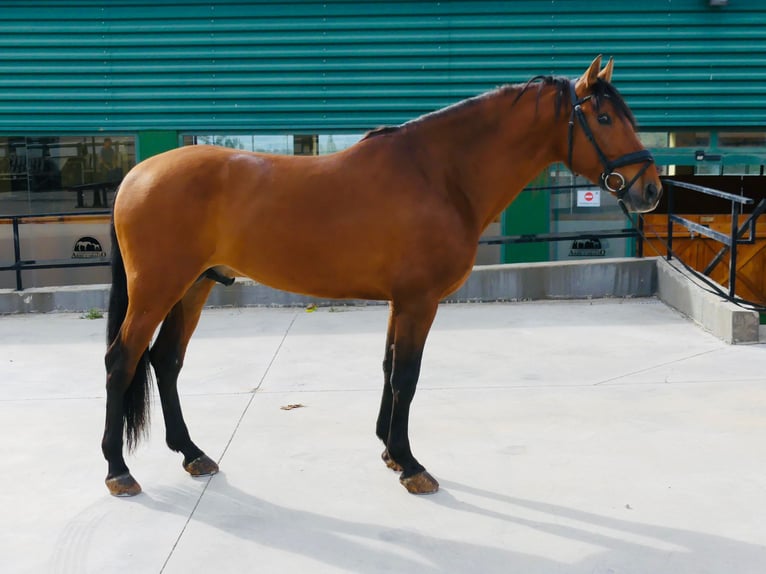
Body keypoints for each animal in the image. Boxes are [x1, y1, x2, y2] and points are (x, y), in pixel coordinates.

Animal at [102, 57, 664, 500]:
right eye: (605, 117)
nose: (652, 191)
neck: (439, 175)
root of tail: (136, 175)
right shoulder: (419, 301)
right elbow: (407, 376)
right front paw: (411, 464)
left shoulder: (401, 302)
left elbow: (390, 367)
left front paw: (390, 452)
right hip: (157, 290)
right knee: (122, 361)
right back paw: (118, 470)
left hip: (193, 287)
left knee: (165, 362)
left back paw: (191, 454)